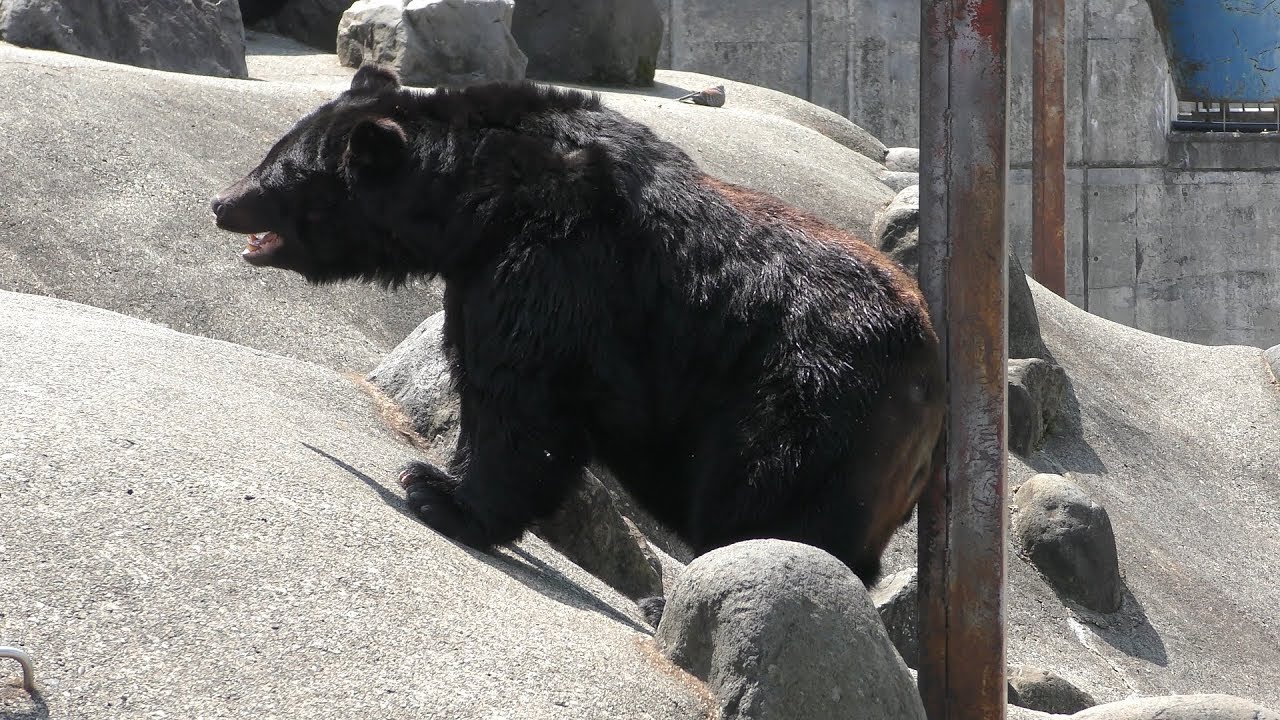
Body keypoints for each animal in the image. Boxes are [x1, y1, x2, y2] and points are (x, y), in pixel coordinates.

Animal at [210, 65, 945, 590]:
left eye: (281, 172)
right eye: (273, 150)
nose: (222, 203)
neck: (478, 200)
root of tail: (932, 384)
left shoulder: (556, 259)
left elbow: (520, 398)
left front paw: (438, 494)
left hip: (812, 404)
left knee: (769, 500)